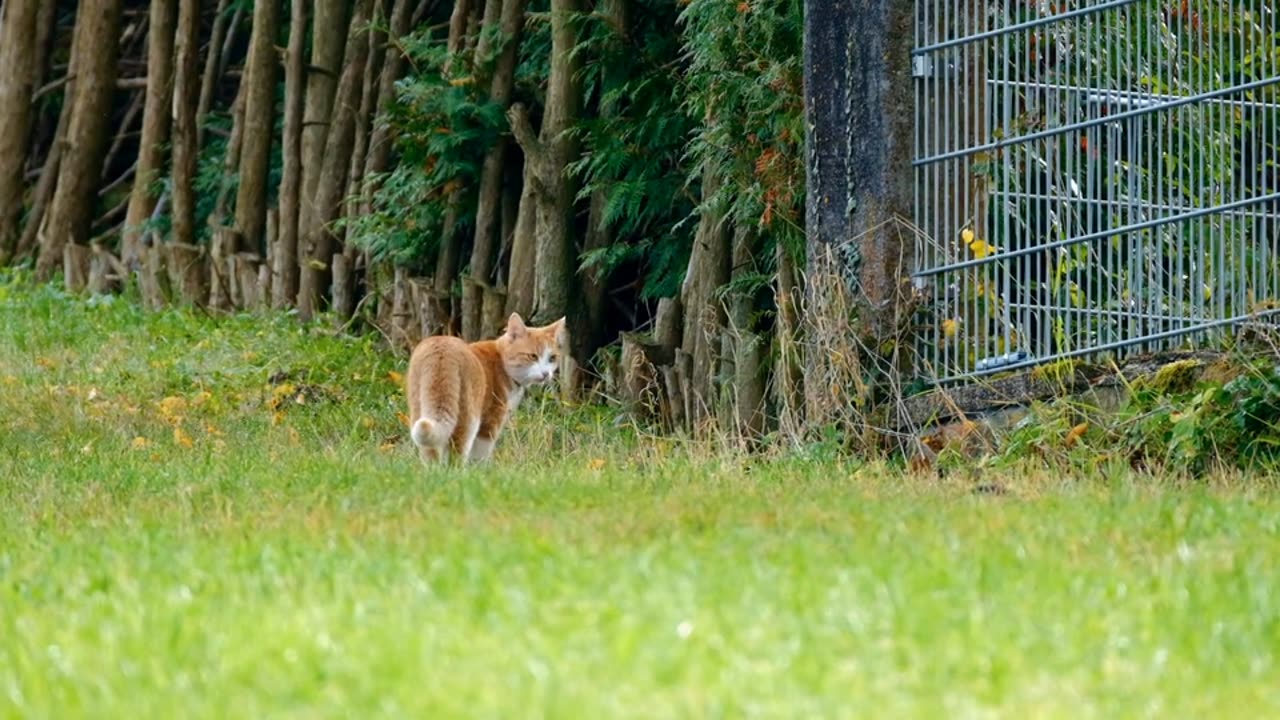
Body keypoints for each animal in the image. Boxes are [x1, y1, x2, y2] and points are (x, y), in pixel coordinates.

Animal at [404, 311, 565, 461]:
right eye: (533, 356)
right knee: (457, 451)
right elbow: (480, 454)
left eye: (552, 358)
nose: (546, 373)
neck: (501, 361)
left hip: (420, 405)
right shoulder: (490, 421)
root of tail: (442, 349)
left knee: (428, 451)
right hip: (469, 417)